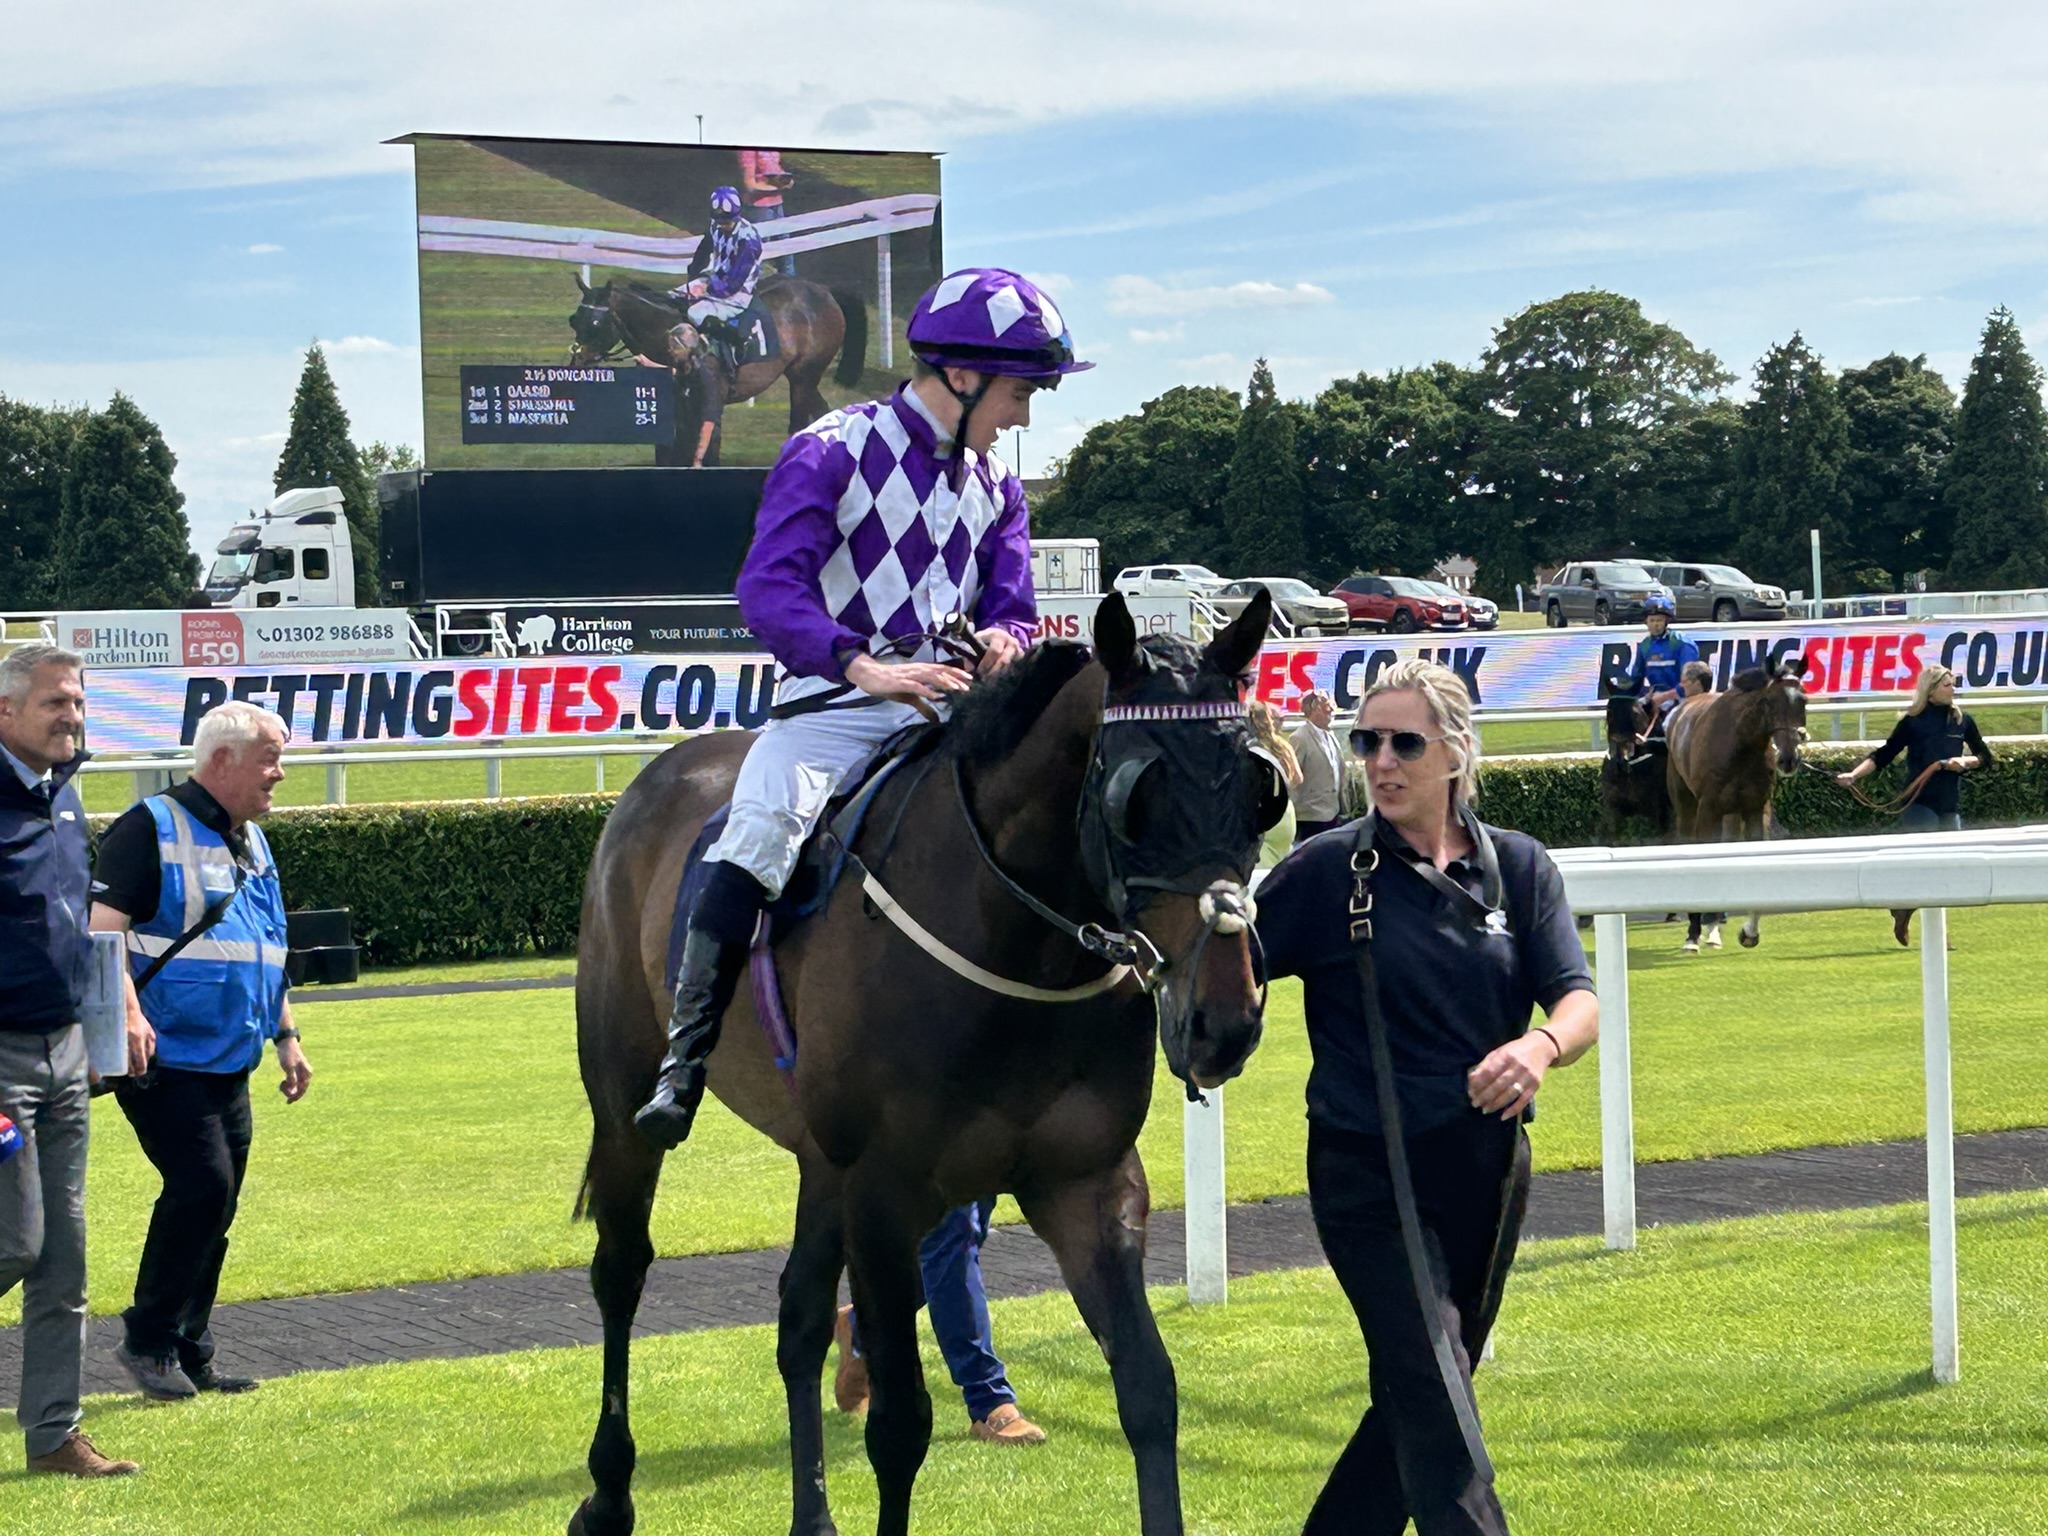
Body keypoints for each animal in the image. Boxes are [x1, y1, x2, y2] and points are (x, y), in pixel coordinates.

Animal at [565, 272, 868, 434]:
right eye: (574, 320)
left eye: (595, 324)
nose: (576, 362)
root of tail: (824, 290)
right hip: (803, 378)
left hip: (804, 375)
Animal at [573, 593, 1277, 1536]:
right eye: (1135, 794)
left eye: (1261, 788)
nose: (1223, 1021)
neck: (1011, 946)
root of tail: (659, 777)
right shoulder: (883, 1191)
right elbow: (902, 1423)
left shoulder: (1085, 1181)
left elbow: (1149, 1392)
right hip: (625, 1108)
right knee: (621, 1270)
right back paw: (609, 1493)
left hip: (818, 1160)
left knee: (799, 1316)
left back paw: (812, 1515)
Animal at [1662, 663, 1810, 950]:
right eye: (1768, 702)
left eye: (1803, 700)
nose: (1788, 759)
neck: (1739, 743)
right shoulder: (1708, 810)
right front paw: (1695, 931)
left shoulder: (1754, 809)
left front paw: (1748, 931)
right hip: (1686, 803)